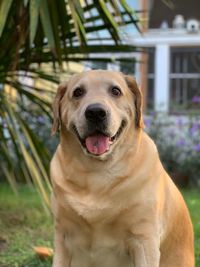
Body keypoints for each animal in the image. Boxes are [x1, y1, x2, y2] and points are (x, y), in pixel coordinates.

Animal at [50, 70, 194, 266]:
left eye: (115, 91)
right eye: (78, 92)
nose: (96, 112)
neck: (96, 173)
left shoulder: (144, 239)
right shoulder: (63, 237)